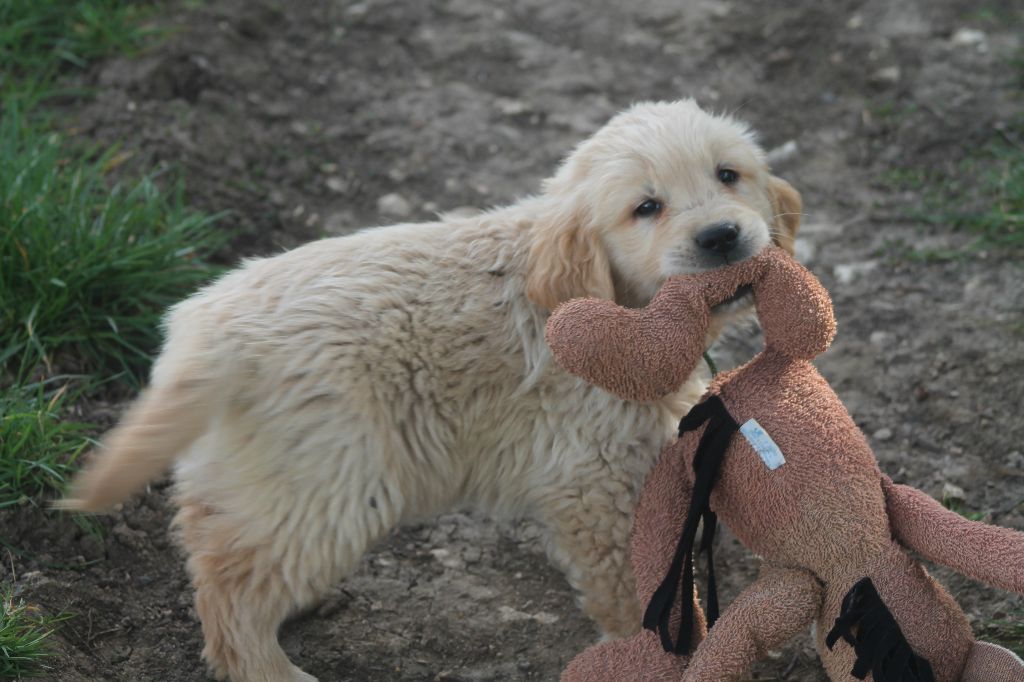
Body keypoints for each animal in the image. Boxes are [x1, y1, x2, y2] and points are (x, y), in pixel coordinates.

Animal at [61, 98, 798, 675]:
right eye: (646, 207)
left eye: (729, 175)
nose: (721, 235)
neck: (621, 309)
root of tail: (206, 328)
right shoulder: (592, 481)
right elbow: (635, 588)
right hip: (332, 477)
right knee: (231, 590)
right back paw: (274, 670)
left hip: (267, 473)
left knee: (211, 539)